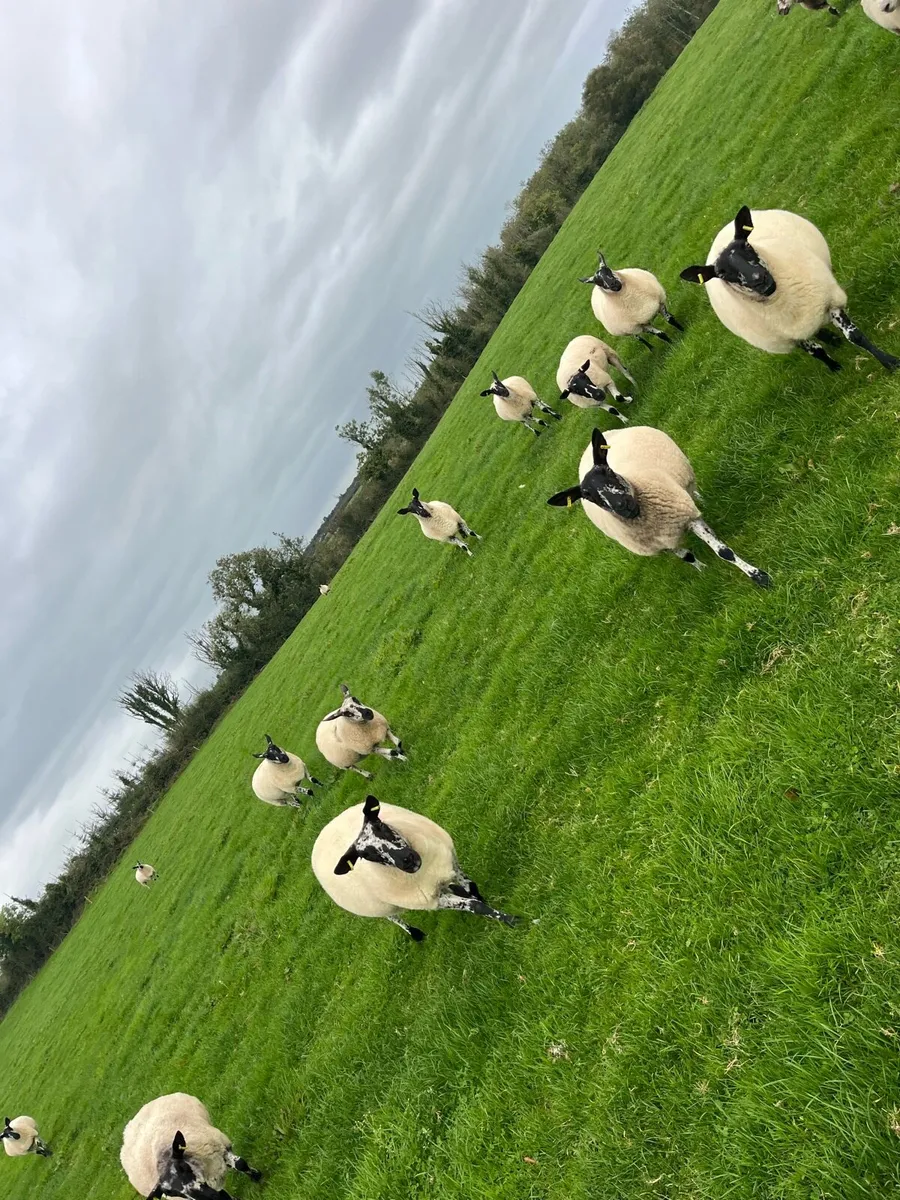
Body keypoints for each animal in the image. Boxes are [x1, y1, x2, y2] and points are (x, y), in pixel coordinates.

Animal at [120, 1092, 261, 1200]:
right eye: (172, 1192)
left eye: (182, 1167)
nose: (207, 1197)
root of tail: (127, 1129)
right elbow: (223, 1195)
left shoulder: (221, 1147)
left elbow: (240, 1164)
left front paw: (256, 1176)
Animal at [311, 794, 519, 940]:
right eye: (367, 856)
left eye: (380, 825)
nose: (407, 860)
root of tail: (323, 830)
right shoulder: (432, 900)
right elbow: (475, 906)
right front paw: (512, 920)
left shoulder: (451, 863)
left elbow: (471, 887)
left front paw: (480, 897)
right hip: (375, 907)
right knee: (394, 918)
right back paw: (415, 934)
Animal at [547, 426, 771, 588]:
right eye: (588, 496)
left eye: (608, 471)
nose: (623, 505)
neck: (649, 520)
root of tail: (587, 448)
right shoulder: (660, 545)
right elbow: (687, 557)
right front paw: (703, 570)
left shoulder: (686, 516)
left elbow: (724, 552)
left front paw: (759, 577)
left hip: (686, 478)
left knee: (692, 492)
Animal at [680, 206, 899, 371]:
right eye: (722, 273)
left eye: (748, 246)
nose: (760, 280)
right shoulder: (786, 337)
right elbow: (816, 351)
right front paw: (835, 368)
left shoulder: (829, 300)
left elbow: (855, 336)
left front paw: (890, 362)